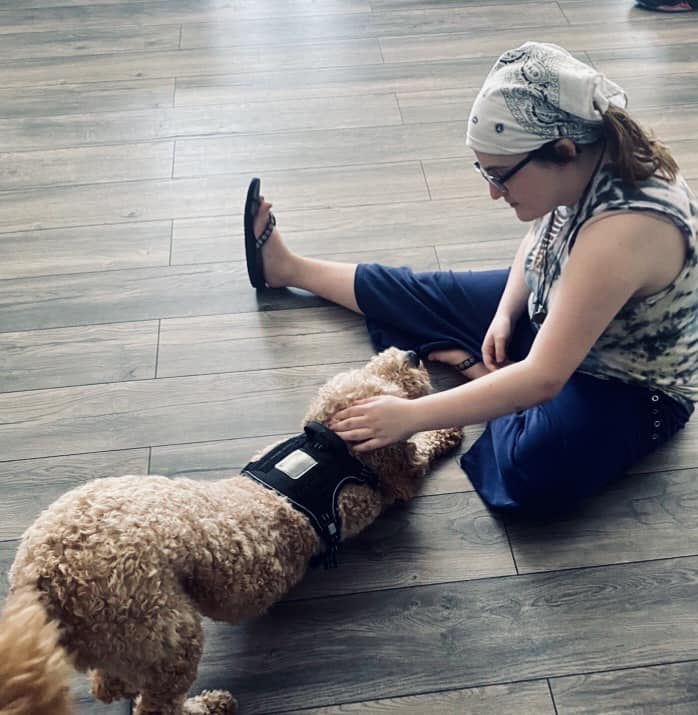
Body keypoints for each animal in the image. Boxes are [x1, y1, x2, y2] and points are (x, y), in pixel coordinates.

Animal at [1, 350, 462, 712]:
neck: (327, 448)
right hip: (167, 633)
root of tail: (42, 576)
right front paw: (445, 431)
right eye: (390, 383)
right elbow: (419, 454)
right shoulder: (380, 492)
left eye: (374, 365)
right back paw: (208, 705)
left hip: (125, 642)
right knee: (157, 705)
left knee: (108, 683)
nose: (412, 354)